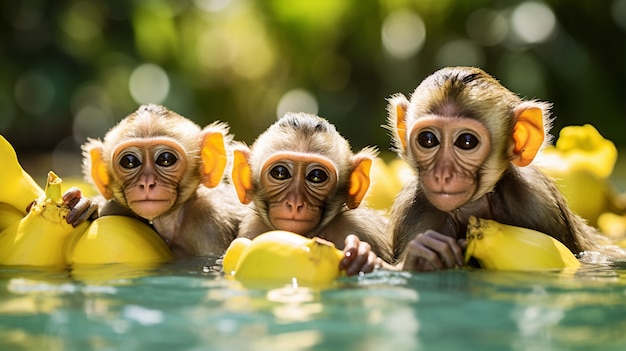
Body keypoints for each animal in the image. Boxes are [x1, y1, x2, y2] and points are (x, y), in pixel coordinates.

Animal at [229, 112, 394, 276]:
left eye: (316, 176)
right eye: (280, 173)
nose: (295, 202)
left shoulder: (359, 228)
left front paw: (362, 257)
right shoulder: (252, 229)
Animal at [382, 66, 604, 272]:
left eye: (466, 141)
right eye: (427, 139)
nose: (442, 174)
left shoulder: (538, 201)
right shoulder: (414, 212)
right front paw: (420, 257)